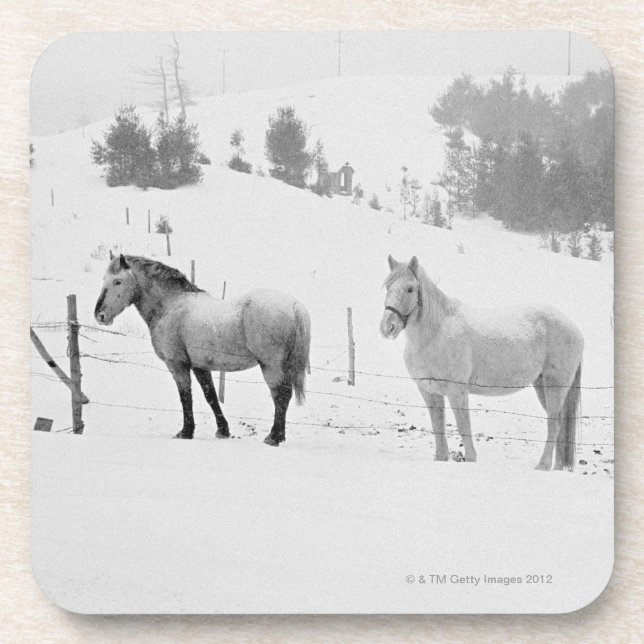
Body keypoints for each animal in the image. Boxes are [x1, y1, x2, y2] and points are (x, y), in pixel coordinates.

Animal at [94, 253, 311, 446]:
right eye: (104, 279)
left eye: (118, 282)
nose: (100, 315)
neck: (170, 304)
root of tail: (294, 305)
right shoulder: (199, 365)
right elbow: (211, 396)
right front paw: (222, 431)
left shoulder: (178, 365)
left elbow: (185, 397)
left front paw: (185, 432)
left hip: (271, 366)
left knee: (281, 396)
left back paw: (273, 437)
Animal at [380, 255, 584, 471]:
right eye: (388, 286)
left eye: (410, 288)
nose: (388, 327)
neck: (434, 334)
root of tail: (575, 329)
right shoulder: (429, 391)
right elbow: (438, 424)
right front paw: (441, 457)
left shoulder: (457, 391)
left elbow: (463, 425)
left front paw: (471, 458)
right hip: (541, 384)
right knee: (560, 423)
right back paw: (558, 467)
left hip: (555, 385)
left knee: (554, 422)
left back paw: (543, 465)